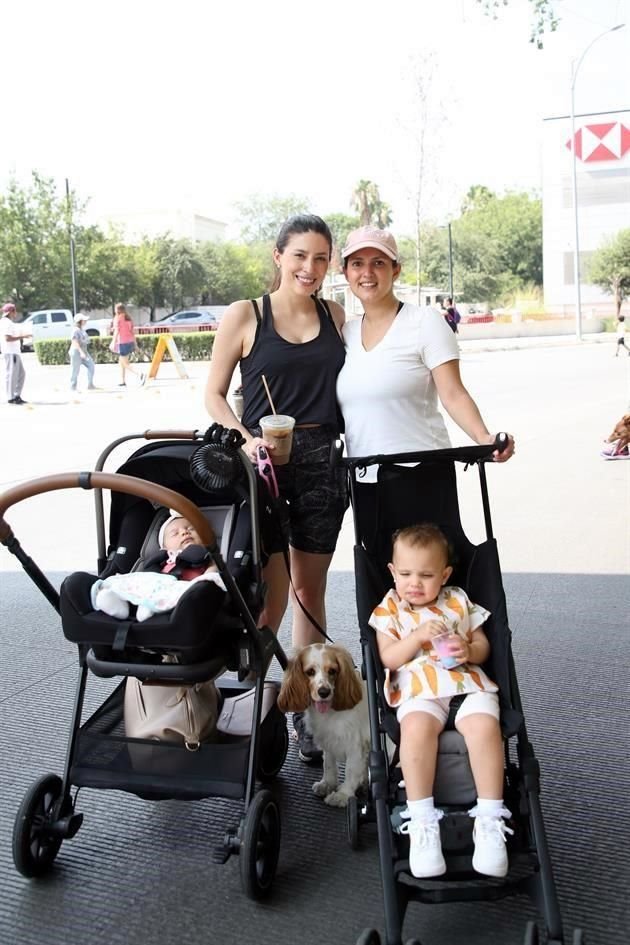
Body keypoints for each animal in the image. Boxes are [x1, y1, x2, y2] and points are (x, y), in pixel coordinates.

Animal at [278, 640, 370, 804]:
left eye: (333, 671)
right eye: (310, 672)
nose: (324, 692)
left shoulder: (355, 745)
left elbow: (351, 771)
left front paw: (343, 795)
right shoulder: (329, 741)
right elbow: (328, 765)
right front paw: (327, 785)